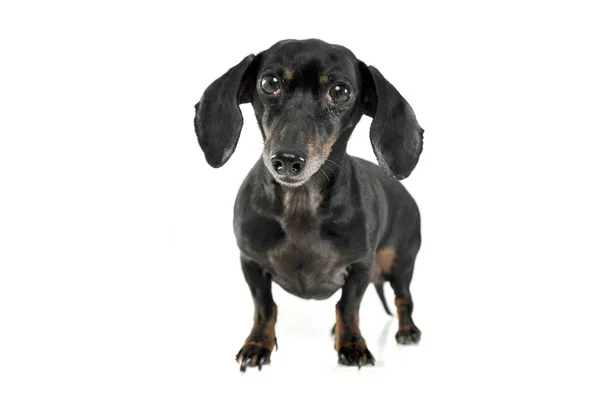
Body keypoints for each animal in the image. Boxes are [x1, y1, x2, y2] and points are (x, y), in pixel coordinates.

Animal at [195, 39, 424, 370]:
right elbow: (265, 307)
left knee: (403, 298)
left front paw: (352, 344)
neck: (300, 204)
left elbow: (348, 307)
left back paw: (407, 331)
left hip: (402, 264)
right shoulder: (250, 263)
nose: (287, 160)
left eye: (340, 91)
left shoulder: (360, 266)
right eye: (269, 83)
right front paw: (257, 344)